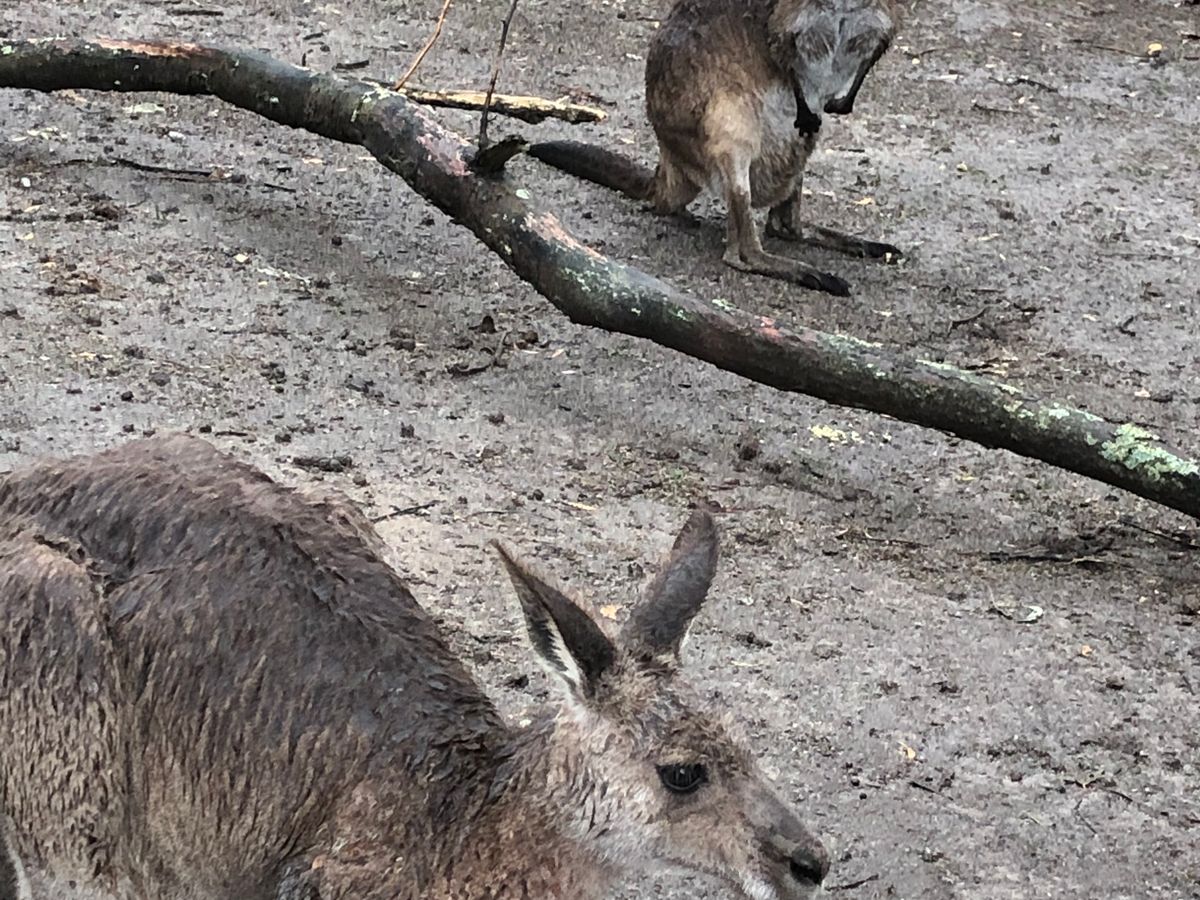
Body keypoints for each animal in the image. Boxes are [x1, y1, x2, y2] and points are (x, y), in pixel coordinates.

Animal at [528, 0, 901, 296]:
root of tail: (668, 163)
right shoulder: (787, 21)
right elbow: (781, 49)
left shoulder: (881, 23)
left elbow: (866, 62)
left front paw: (841, 103)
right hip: (727, 123)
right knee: (741, 253)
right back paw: (812, 274)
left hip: (794, 150)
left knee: (785, 224)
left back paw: (867, 246)